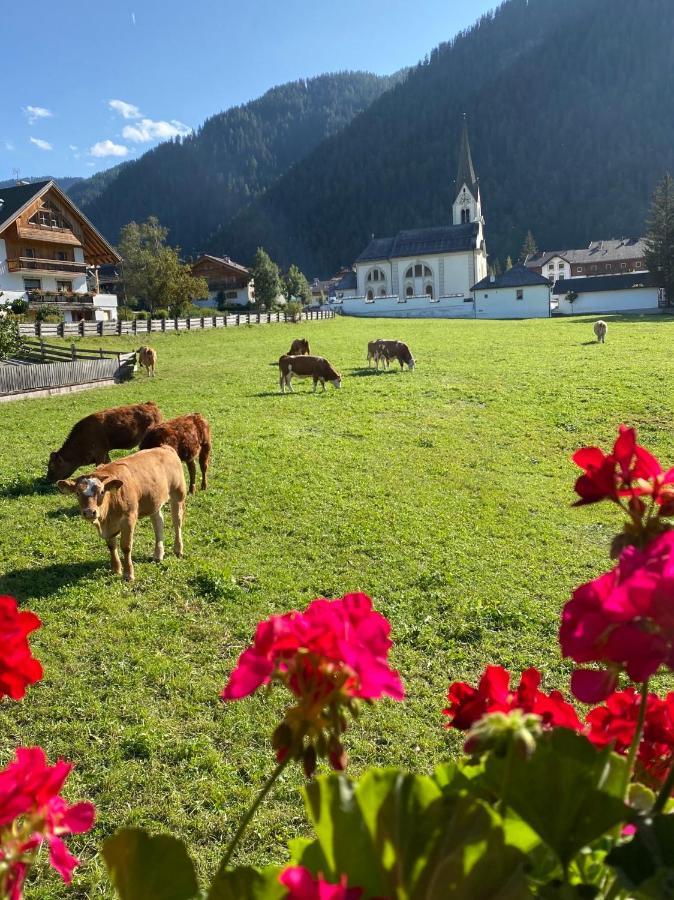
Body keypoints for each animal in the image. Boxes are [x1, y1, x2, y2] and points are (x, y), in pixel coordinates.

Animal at [56, 444, 184, 584]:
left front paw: (128, 574)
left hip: (178, 495)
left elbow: (126, 547)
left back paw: (178, 550)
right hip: (154, 502)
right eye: (77, 493)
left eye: (101, 492)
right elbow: (111, 546)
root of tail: (165, 447)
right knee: (158, 523)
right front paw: (116, 569)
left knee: (177, 523)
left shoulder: (129, 518)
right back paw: (158, 554)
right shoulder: (108, 526)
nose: (90, 512)